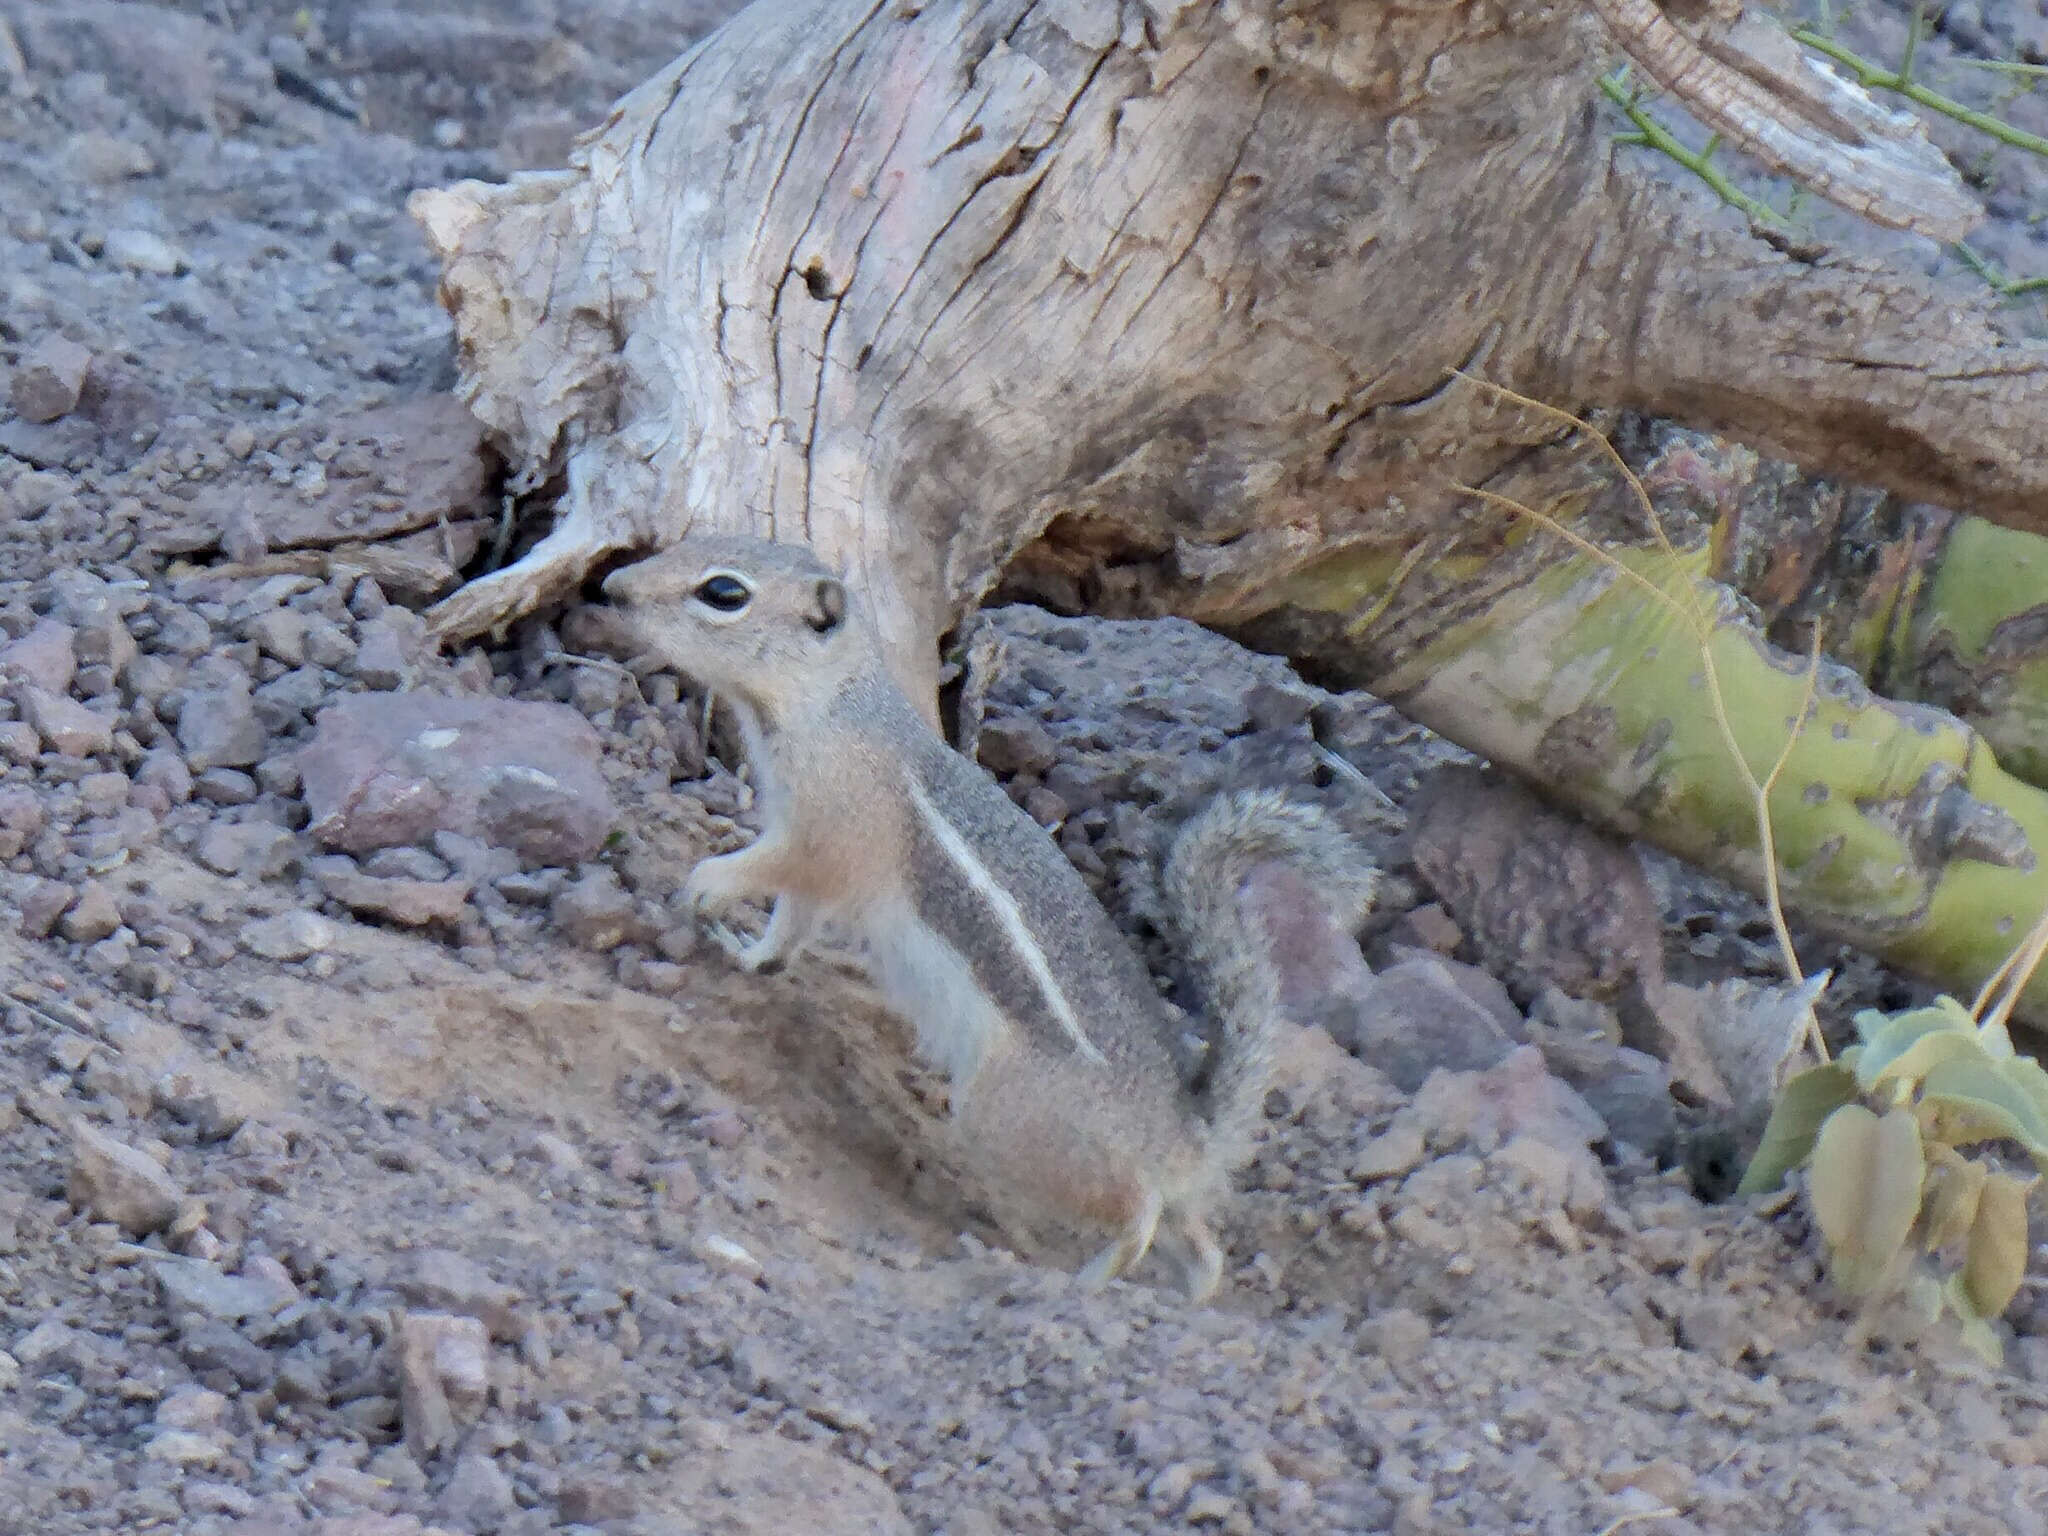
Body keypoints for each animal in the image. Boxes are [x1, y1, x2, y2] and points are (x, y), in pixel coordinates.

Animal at [606, 536, 1376, 1302]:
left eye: (724, 593)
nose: (612, 589)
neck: (830, 706)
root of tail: (1183, 1136)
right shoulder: (806, 846)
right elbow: (789, 926)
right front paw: (746, 951)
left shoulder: (829, 828)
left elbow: (781, 873)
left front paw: (705, 885)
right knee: (1199, 1239)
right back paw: (1186, 1295)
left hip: (1005, 1118)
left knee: (1139, 1212)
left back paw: (1088, 1281)